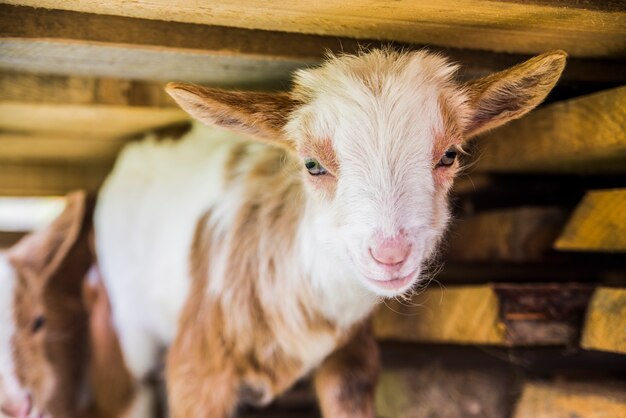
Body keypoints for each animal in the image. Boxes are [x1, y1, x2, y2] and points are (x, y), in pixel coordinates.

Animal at [94, 48, 564, 414]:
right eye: (312, 164)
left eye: (449, 155)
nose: (390, 254)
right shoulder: (198, 362)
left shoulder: (351, 357)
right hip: (128, 317)